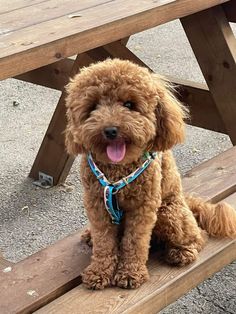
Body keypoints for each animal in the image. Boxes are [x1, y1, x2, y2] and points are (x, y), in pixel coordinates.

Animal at [64, 58, 236, 290]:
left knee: (198, 236)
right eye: (93, 107)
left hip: (168, 213)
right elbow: (104, 242)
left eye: (129, 104)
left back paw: (180, 253)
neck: (117, 171)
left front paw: (130, 273)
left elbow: (134, 241)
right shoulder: (97, 204)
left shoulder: (143, 207)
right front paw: (99, 272)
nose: (110, 130)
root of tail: (188, 202)